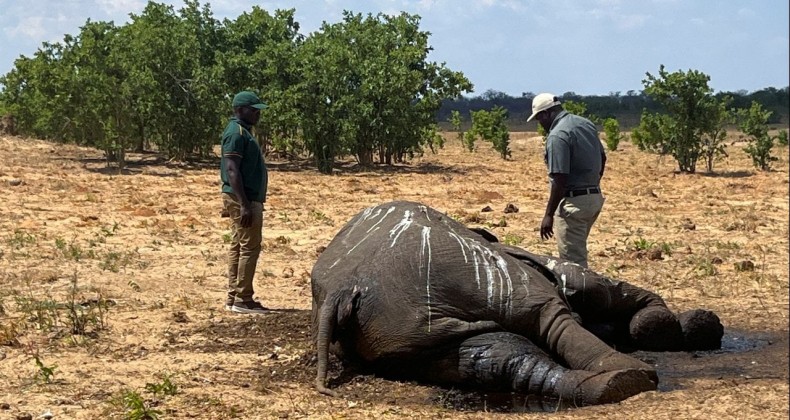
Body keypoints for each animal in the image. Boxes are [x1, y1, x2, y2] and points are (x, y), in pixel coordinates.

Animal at [310, 200, 724, 406]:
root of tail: (345, 287)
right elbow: (603, 291)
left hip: (402, 330)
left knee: (494, 358)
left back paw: (607, 386)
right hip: (471, 274)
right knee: (548, 316)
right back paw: (629, 377)